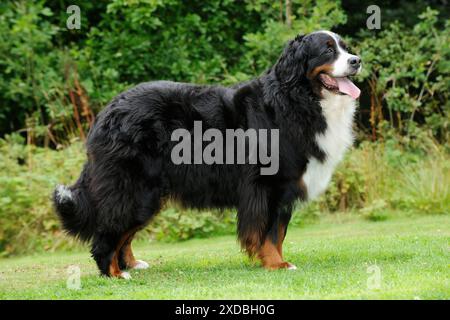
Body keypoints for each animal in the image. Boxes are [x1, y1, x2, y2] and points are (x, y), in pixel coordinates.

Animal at [53, 31, 362, 278]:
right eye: (328, 50)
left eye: (345, 47)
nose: (357, 60)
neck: (295, 98)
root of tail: (107, 112)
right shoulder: (268, 187)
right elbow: (270, 233)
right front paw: (277, 264)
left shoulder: (284, 189)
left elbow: (279, 233)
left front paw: (276, 262)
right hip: (133, 189)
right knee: (108, 232)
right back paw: (115, 273)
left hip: (146, 194)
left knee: (124, 232)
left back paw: (131, 264)